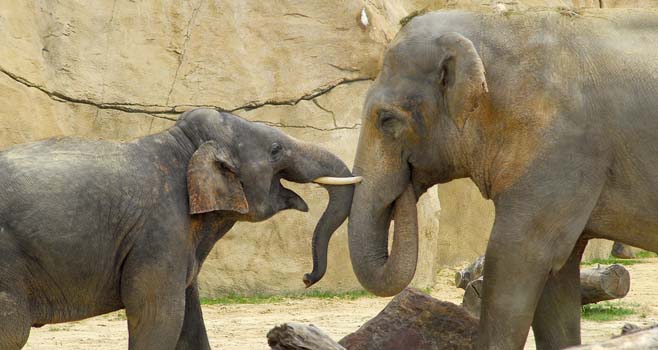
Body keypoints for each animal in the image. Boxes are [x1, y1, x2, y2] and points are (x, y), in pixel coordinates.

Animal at [0, 108, 358, 348]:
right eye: (275, 150)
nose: (307, 278)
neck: (180, 146)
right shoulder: (160, 232)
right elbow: (159, 317)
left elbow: (190, 322)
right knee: (13, 331)